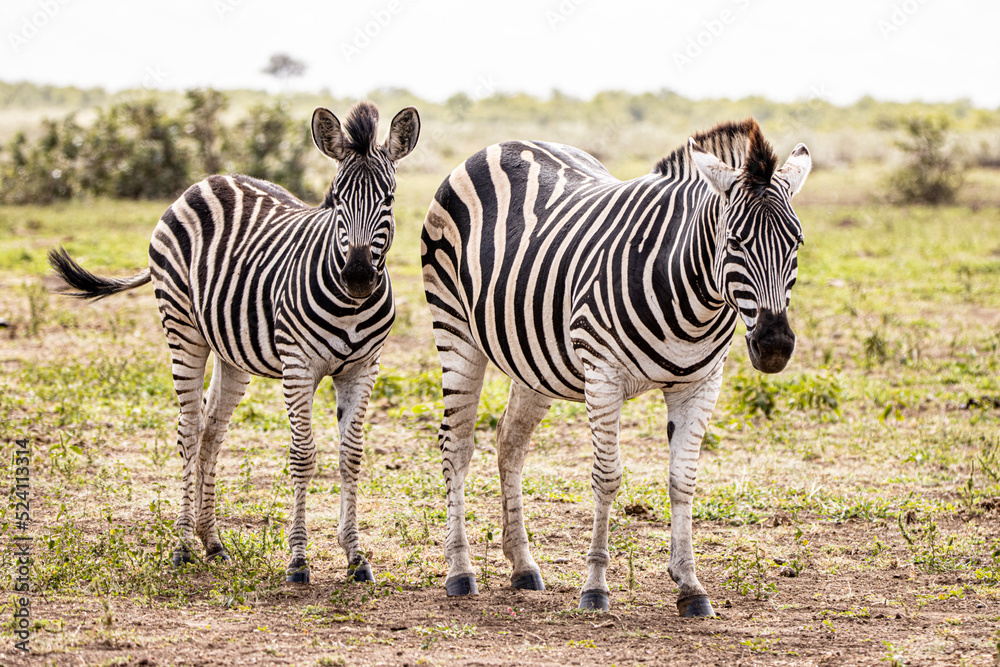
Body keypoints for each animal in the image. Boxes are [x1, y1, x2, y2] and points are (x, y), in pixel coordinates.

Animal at [48, 101, 420, 584]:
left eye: (388, 199)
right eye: (336, 199)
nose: (357, 277)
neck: (351, 306)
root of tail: (208, 181)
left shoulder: (364, 367)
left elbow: (351, 455)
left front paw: (356, 557)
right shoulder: (298, 365)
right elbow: (303, 455)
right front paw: (298, 560)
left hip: (232, 352)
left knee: (211, 432)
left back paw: (212, 542)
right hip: (182, 327)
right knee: (189, 429)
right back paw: (184, 545)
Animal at [421, 119, 810, 616]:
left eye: (796, 243)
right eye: (735, 242)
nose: (775, 346)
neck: (691, 294)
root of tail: (501, 144)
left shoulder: (702, 383)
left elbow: (683, 481)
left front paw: (690, 586)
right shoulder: (602, 374)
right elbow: (607, 479)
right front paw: (595, 587)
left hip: (533, 359)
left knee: (510, 444)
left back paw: (523, 565)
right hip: (455, 331)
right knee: (457, 446)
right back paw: (460, 570)